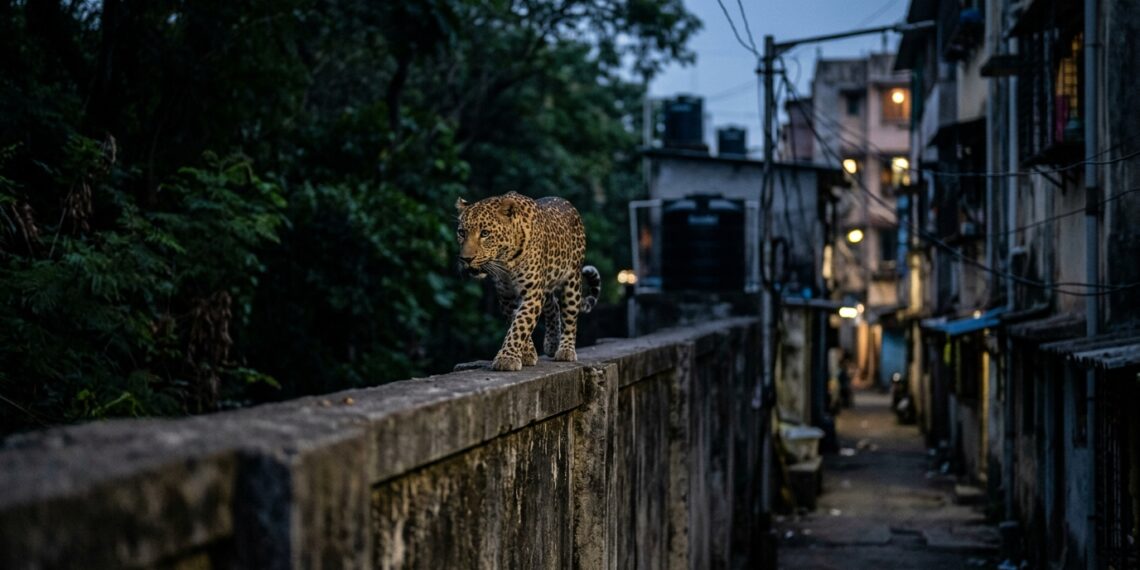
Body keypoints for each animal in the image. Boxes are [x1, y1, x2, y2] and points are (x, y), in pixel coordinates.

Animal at [455, 191, 601, 371]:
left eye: (485, 233)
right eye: (462, 233)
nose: (466, 259)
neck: (505, 262)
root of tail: (568, 203)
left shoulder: (532, 294)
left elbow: (520, 325)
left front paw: (506, 359)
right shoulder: (507, 296)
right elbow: (517, 322)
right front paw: (527, 354)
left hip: (572, 279)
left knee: (570, 314)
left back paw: (565, 350)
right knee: (553, 305)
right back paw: (552, 344)